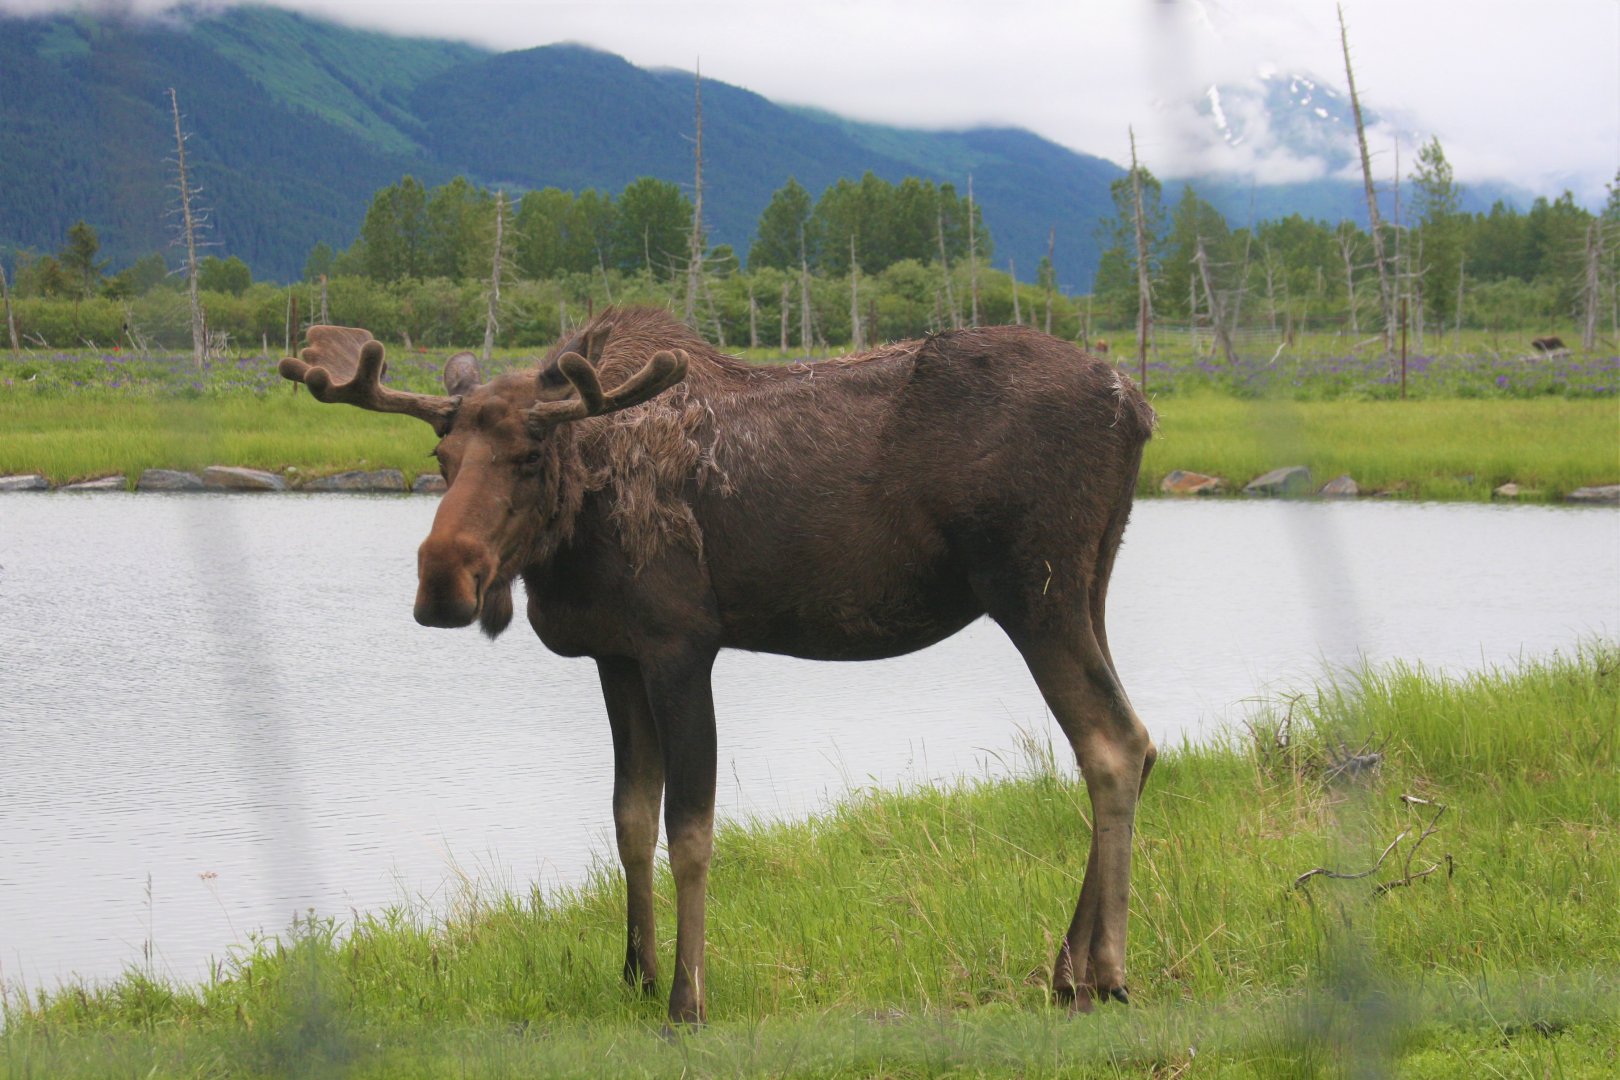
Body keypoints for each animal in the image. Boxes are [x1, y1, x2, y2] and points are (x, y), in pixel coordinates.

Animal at [279, 306, 1157, 1027]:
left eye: (530, 453)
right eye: (441, 452)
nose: (442, 580)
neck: (573, 534)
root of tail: (1137, 405)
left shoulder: (680, 646)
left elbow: (691, 828)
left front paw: (686, 995)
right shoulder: (616, 656)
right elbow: (629, 817)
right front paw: (635, 972)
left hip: (1032, 590)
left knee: (1111, 745)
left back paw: (1108, 973)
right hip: (1091, 585)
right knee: (1139, 742)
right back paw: (1066, 968)